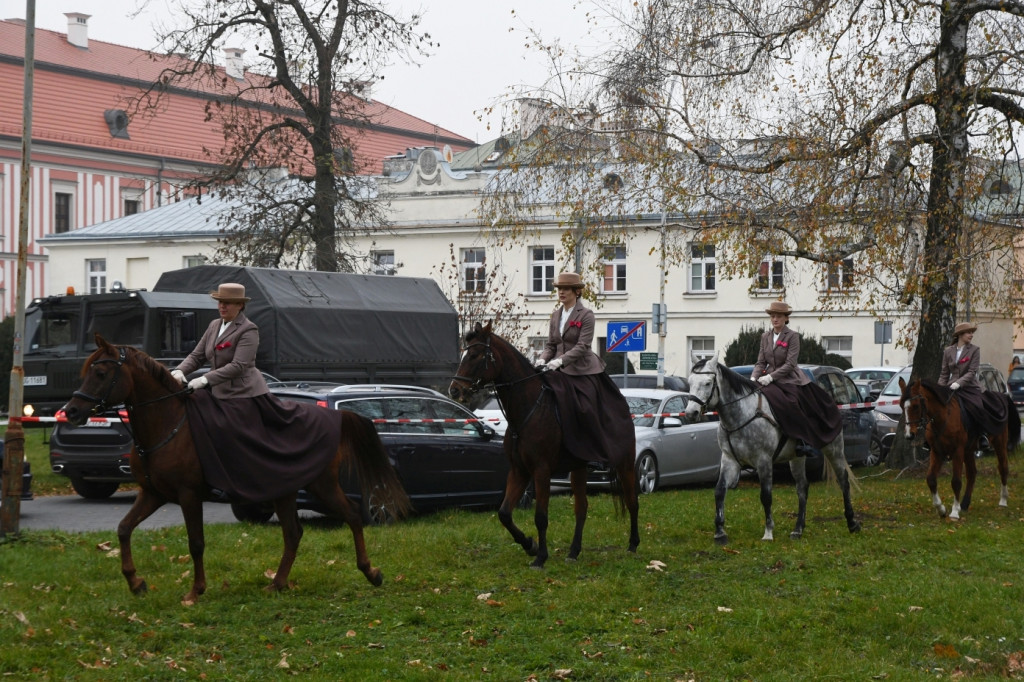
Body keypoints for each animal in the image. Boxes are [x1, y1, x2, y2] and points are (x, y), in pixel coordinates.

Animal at [60, 331, 407, 602]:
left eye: (101, 375)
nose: (72, 411)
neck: (168, 425)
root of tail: (334, 416)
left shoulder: (188, 495)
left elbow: (196, 542)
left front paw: (195, 591)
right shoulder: (153, 493)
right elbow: (123, 529)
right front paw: (136, 583)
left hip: (321, 485)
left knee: (351, 516)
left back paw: (370, 572)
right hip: (284, 489)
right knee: (293, 533)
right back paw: (277, 584)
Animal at [450, 321, 638, 565]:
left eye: (474, 355)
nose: (454, 390)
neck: (528, 408)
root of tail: (624, 403)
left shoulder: (541, 470)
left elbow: (540, 516)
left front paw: (540, 557)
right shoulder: (519, 470)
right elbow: (504, 513)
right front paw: (529, 545)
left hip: (625, 463)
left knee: (632, 501)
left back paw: (633, 545)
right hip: (579, 468)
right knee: (582, 507)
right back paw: (573, 552)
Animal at [684, 350, 860, 540]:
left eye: (708, 383)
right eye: (690, 382)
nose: (691, 413)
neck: (740, 415)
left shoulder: (764, 461)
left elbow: (766, 496)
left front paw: (768, 532)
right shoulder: (729, 460)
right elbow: (719, 491)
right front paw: (719, 532)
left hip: (834, 448)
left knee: (844, 481)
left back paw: (852, 523)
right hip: (796, 458)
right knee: (802, 488)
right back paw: (798, 529)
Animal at [901, 376, 1019, 516]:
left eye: (916, 406)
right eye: (901, 406)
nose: (909, 435)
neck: (943, 417)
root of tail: (1001, 396)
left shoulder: (957, 451)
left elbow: (956, 481)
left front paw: (954, 512)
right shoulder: (936, 452)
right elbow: (931, 479)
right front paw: (941, 509)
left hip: (999, 443)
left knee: (1003, 468)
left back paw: (1003, 500)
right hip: (968, 450)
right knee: (972, 473)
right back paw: (965, 504)